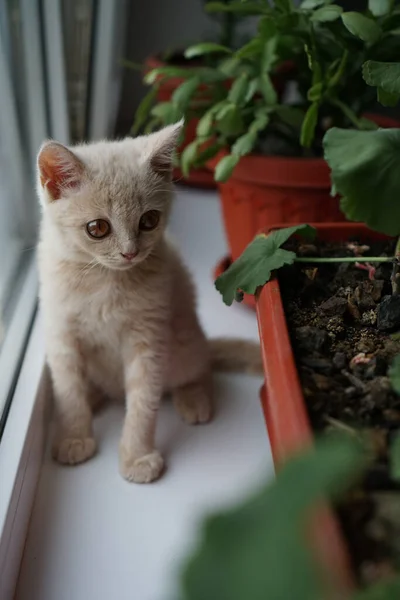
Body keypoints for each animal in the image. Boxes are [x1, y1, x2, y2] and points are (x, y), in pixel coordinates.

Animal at [37, 122, 260, 482]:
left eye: (149, 221)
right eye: (97, 228)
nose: (130, 252)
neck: (104, 281)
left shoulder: (149, 339)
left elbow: (143, 401)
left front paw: (137, 457)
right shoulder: (61, 333)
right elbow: (69, 390)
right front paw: (74, 437)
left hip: (183, 340)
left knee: (200, 367)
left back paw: (194, 399)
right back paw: (94, 395)